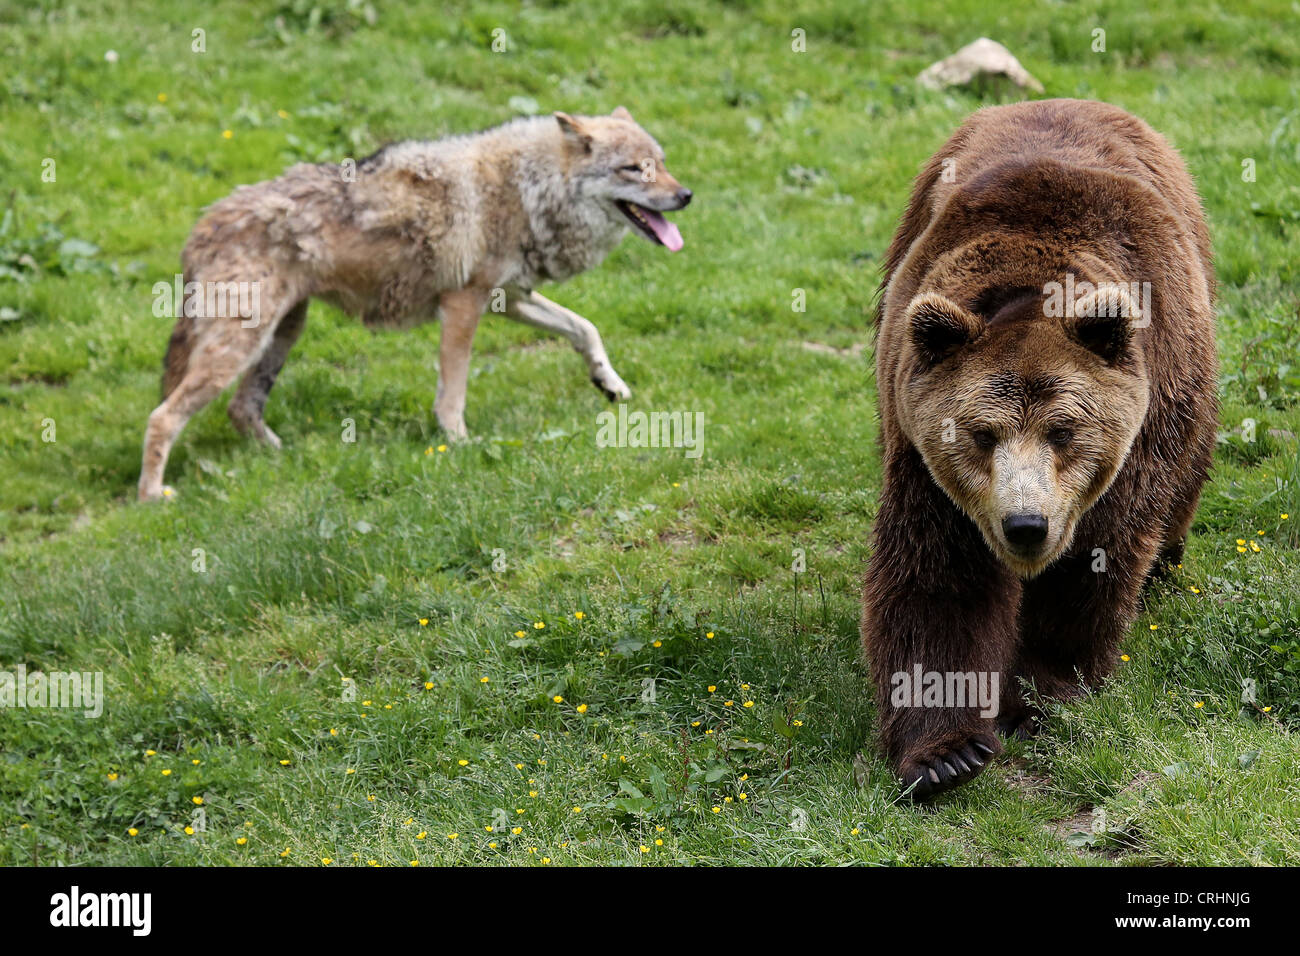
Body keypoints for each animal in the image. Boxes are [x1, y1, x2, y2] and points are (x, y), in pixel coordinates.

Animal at [134, 106, 691, 502]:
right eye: (634, 169)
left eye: (662, 164)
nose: (685, 195)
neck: (527, 189)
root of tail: (203, 224)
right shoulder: (464, 305)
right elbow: (453, 392)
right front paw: (459, 446)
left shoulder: (509, 299)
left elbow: (585, 328)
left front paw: (610, 384)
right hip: (239, 346)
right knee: (162, 416)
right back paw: (152, 498)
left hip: (280, 336)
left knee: (241, 408)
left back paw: (284, 458)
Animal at [863, 98, 1216, 801]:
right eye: (982, 434)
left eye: (1063, 431)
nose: (1025, 524)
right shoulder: (923, 452)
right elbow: (937, 577)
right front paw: (946, 752)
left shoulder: (1138, 435)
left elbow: (1096, 559)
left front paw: (1044, 695)